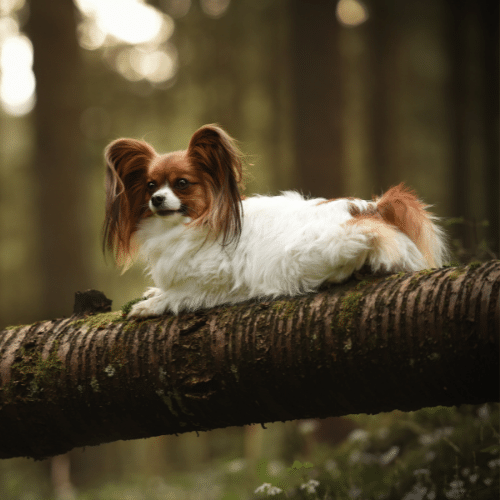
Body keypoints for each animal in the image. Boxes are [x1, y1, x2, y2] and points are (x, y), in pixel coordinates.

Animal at [103, 124, 448, 316]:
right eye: (150, 186)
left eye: (182, 184)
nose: (157, 200)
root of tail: (372, 208)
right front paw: (154, 293)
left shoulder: (216, 279)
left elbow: (182, 294)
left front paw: (153, 304)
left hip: (320, 248)